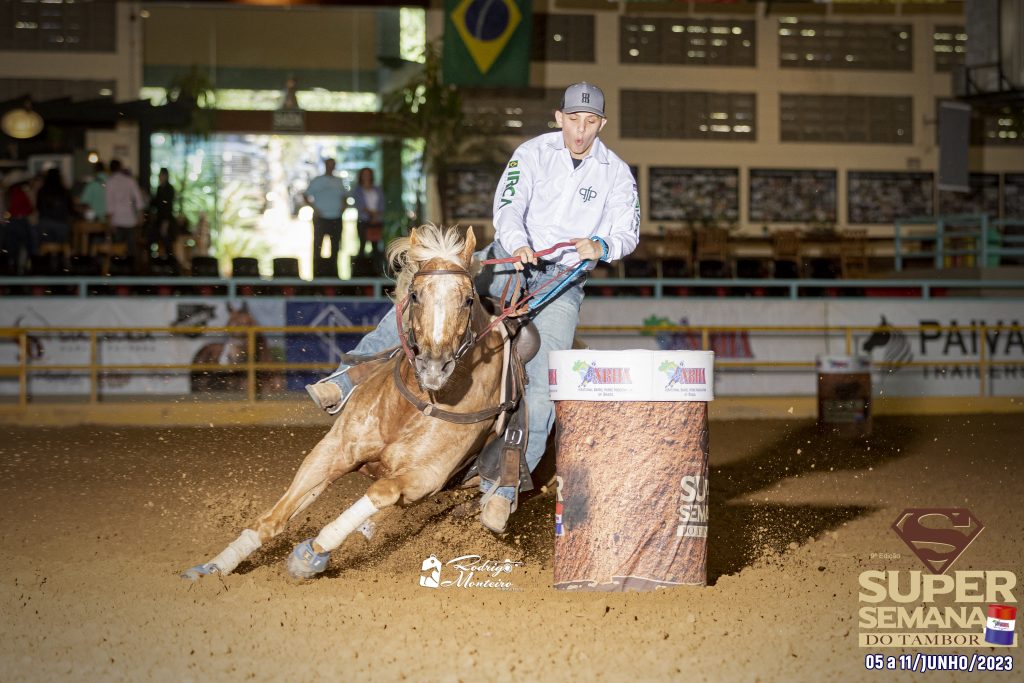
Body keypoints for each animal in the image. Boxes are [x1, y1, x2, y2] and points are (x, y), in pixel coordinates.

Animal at [182, 227, 509, 581]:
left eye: (467, 299)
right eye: (415, 295)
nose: (435, 367)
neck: (410, 408)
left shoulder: (425, 477)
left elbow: (380, 493)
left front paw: (312, 553)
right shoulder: (333, 449)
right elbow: (273, 520)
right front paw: (215, 566)